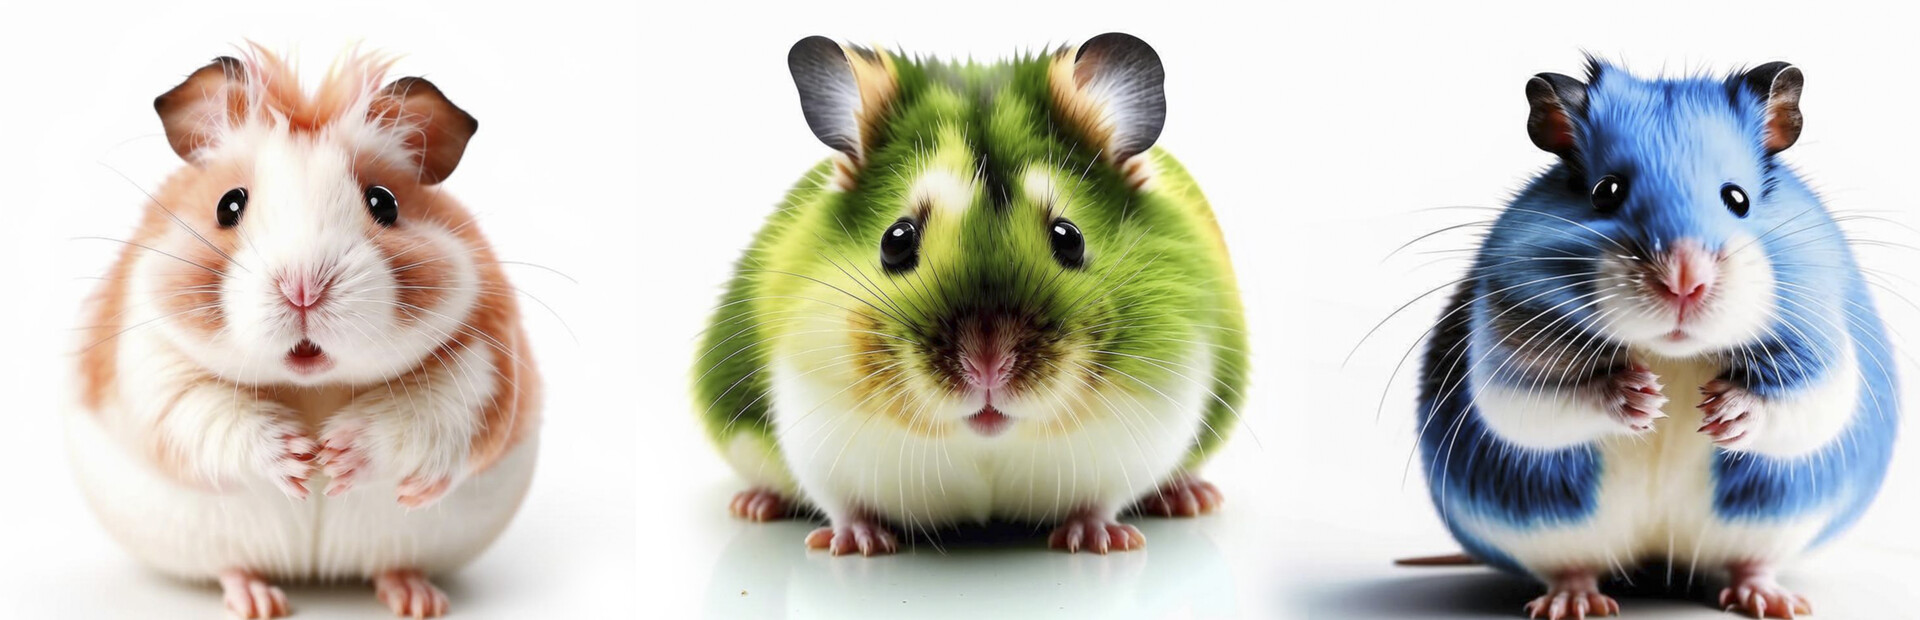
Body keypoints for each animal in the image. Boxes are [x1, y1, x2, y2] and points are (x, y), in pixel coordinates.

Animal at [69, 47, 540, 618]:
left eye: (384, 202)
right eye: (229, 204)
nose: (303, 290)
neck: (313, 387)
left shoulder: (483, 369)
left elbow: (425, 417)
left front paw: (334, 457)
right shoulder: (150, 367)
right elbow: (206, 413)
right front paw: (300, 458)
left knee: (394, 563)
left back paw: (418, 600)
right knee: (232, 566)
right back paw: (260, 602)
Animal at [694, 33, 1247, 555]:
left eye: (1070, 238)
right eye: (896, 240)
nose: (987, 368)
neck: (985, 441)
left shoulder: (1144, 433)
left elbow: (1102, 501)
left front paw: (1102, 540)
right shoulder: (815, 431)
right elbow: (842, 503)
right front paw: (853, 544)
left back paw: (1190, 497)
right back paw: (754, 505)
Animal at [1415, 59, 1895, 619]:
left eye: (1738, 198)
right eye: (1606, 192)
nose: (1684, 281)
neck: (1672, 354)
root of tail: (1656, 560)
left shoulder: (1821, 335)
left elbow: (1812, 400)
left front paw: (1723, 412)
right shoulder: (1505, 338)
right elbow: (1530, 400)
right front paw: (1641, 399)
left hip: (1776, 518)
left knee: (1751, 561)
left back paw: (1772, 600)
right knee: (1571, 567)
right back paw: (1573, 603)